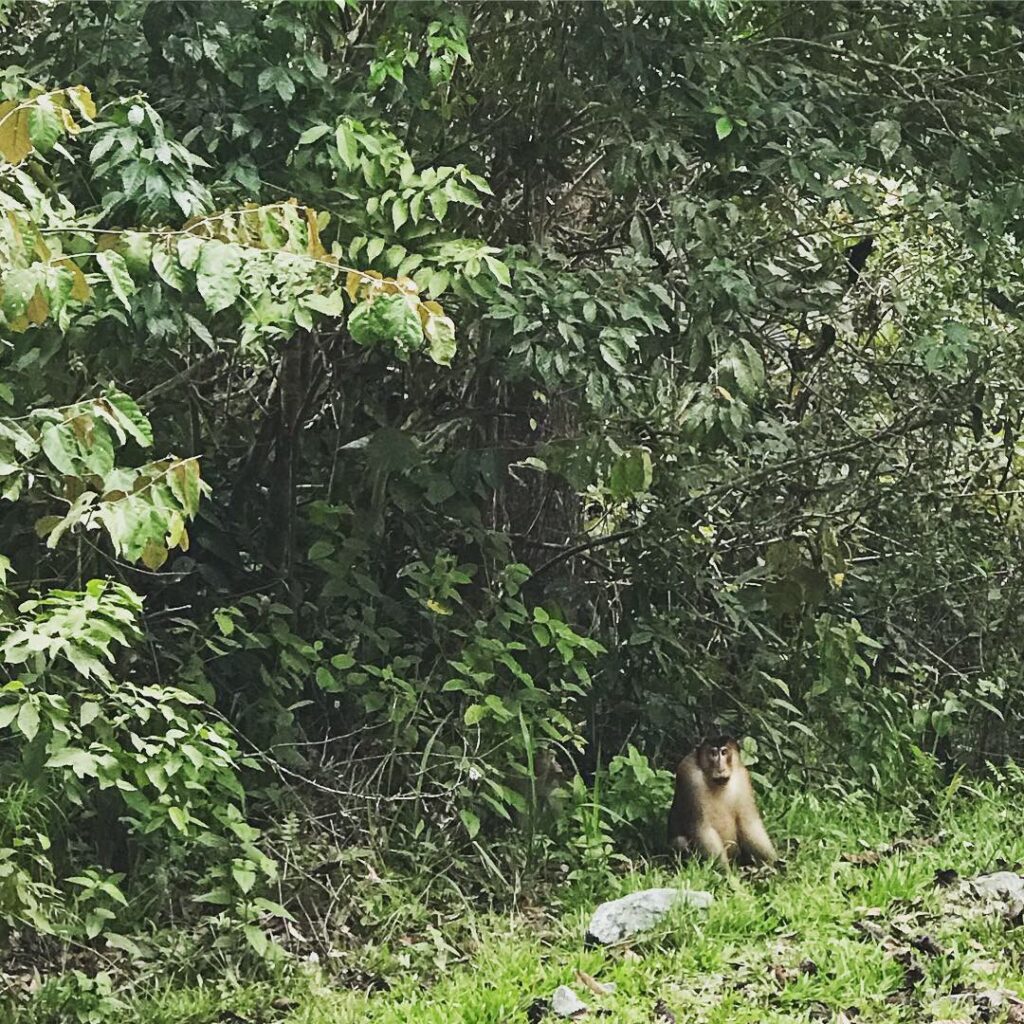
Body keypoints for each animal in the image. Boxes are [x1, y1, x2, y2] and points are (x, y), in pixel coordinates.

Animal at [663, 733, 774, 868]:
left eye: (724, 752)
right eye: (714, 753)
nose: (720, 767)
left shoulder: (743, 776)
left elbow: (749, 823)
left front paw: (772, 863)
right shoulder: (690, 775)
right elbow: (702, 829)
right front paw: (725, 872)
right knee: (680, 841)